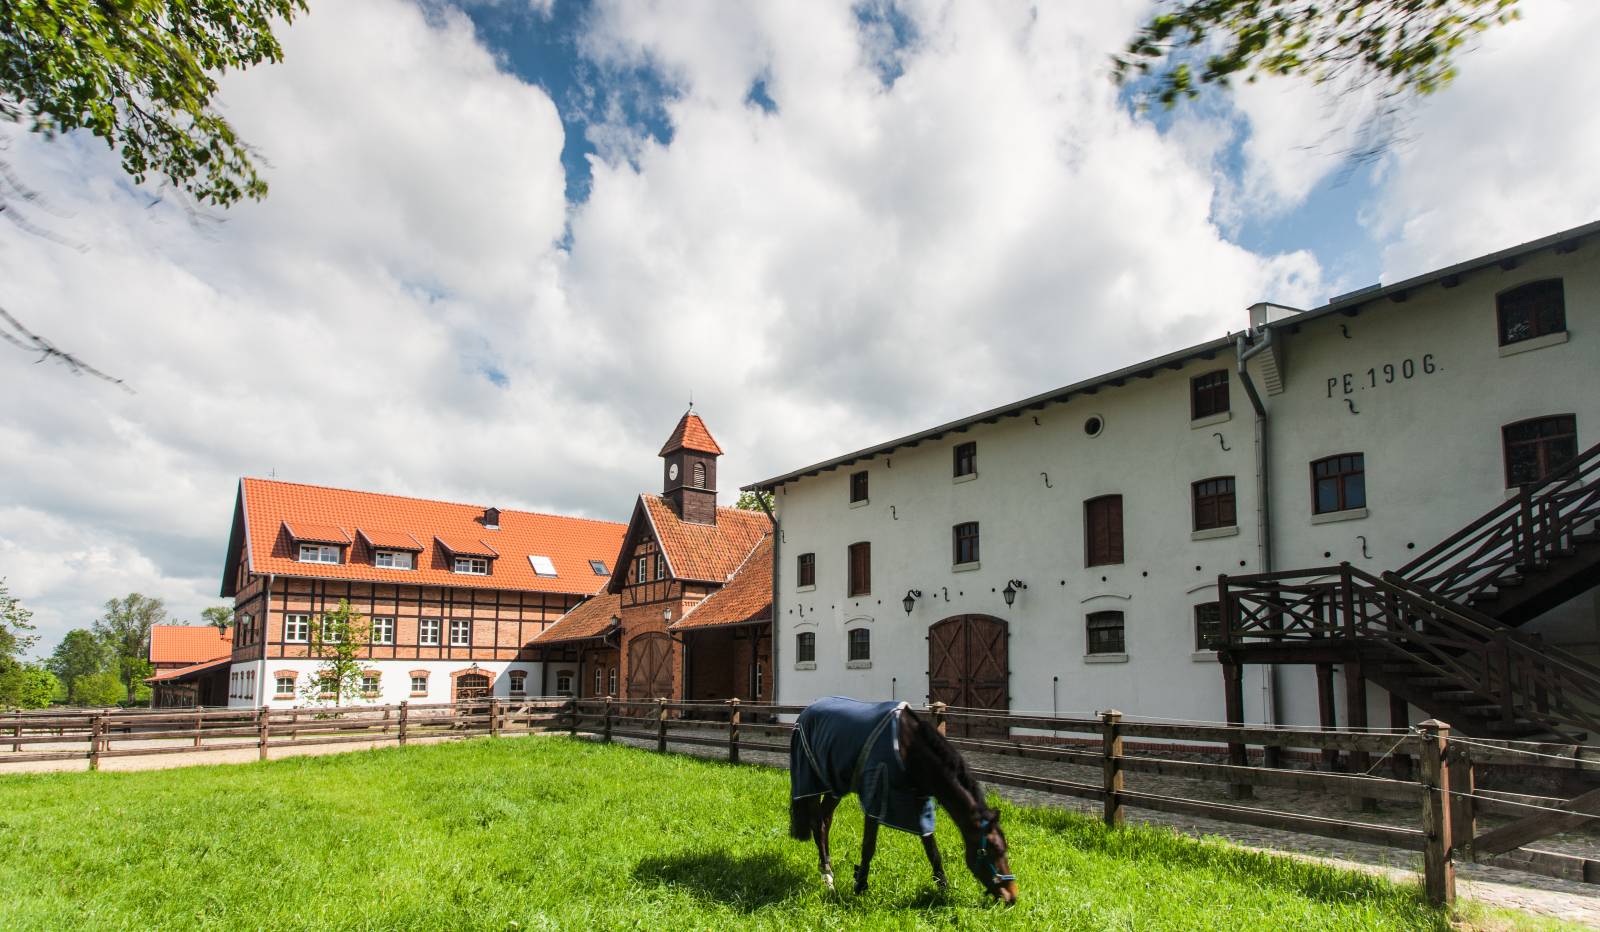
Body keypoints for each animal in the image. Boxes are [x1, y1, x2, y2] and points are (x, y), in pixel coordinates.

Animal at [790, 701, 1024, 903]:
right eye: (992, 850)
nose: (1012, 896)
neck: (908, 747)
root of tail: (806, 711)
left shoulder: (920, 804)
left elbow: (933, 851)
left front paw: (943, 887)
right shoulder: (877, 795)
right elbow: (868, 846)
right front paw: (859, 887)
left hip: (836, 785)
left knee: (824, 821)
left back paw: (828, 873)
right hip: (811, 783)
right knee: (817, 823)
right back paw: (827, 877)